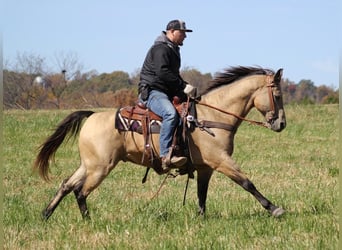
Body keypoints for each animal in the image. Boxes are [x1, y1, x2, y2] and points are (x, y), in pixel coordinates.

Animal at [34, 65, 286, 220]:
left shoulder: (205, 168)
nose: (281, 124)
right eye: (278, 95)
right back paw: (88, 220)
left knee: (67, 185)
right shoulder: (221, 160)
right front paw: (274, 209)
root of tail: (92, 115)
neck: (211, 116)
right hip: (100, 168)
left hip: (89, 164)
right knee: (80, 191)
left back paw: (46, 214)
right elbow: (247, 183)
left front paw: (200, 218)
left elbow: (201, 194)